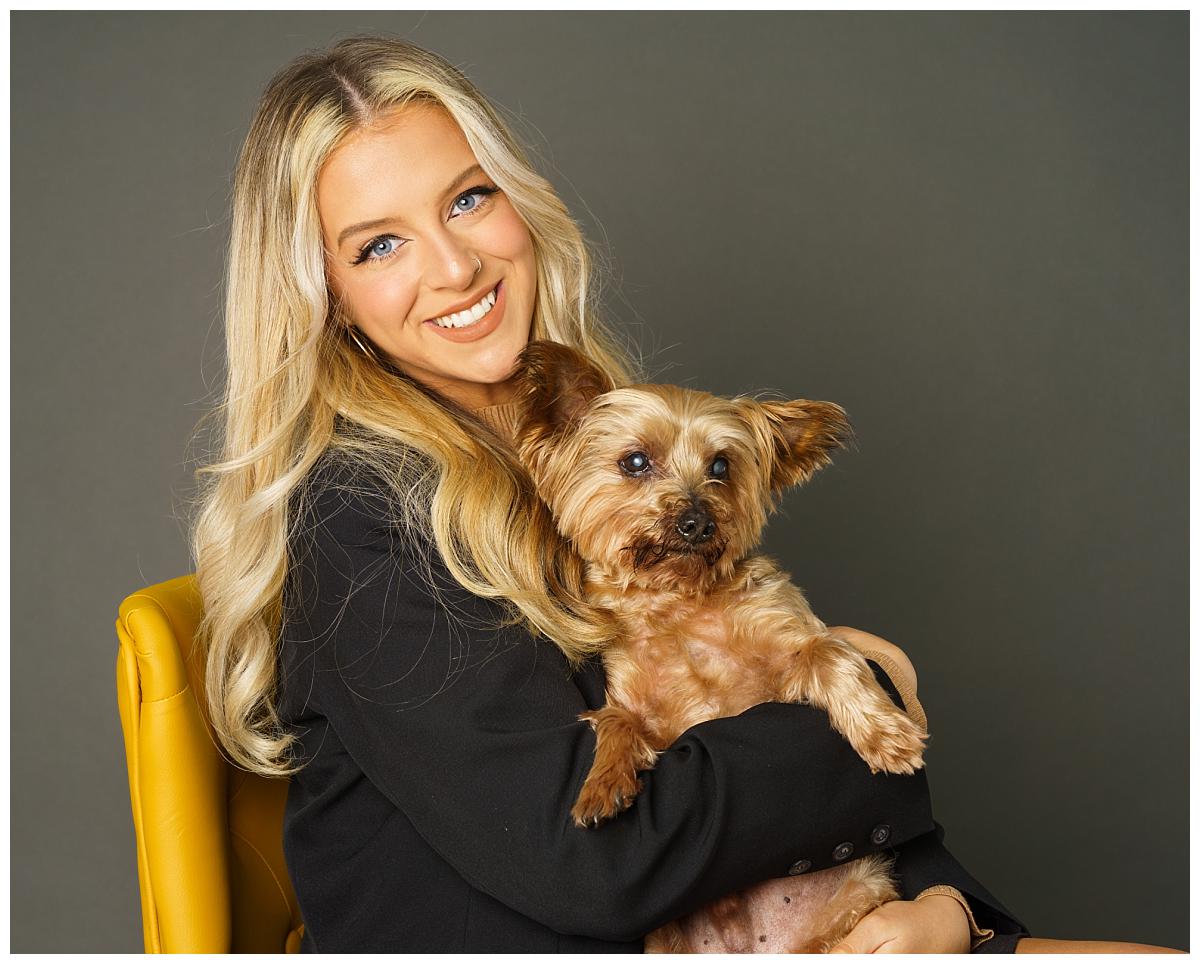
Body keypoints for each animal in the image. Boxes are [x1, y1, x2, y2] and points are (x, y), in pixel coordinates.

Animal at [516, 343, 926, 955]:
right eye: (634, 462)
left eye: (720, 467)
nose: (696, 521)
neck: (678, 606)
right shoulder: (639, 704)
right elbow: (616, 720)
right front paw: (602, 785)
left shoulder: (789, 646)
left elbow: (830, 656)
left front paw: (887, 737)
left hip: (860, 894)